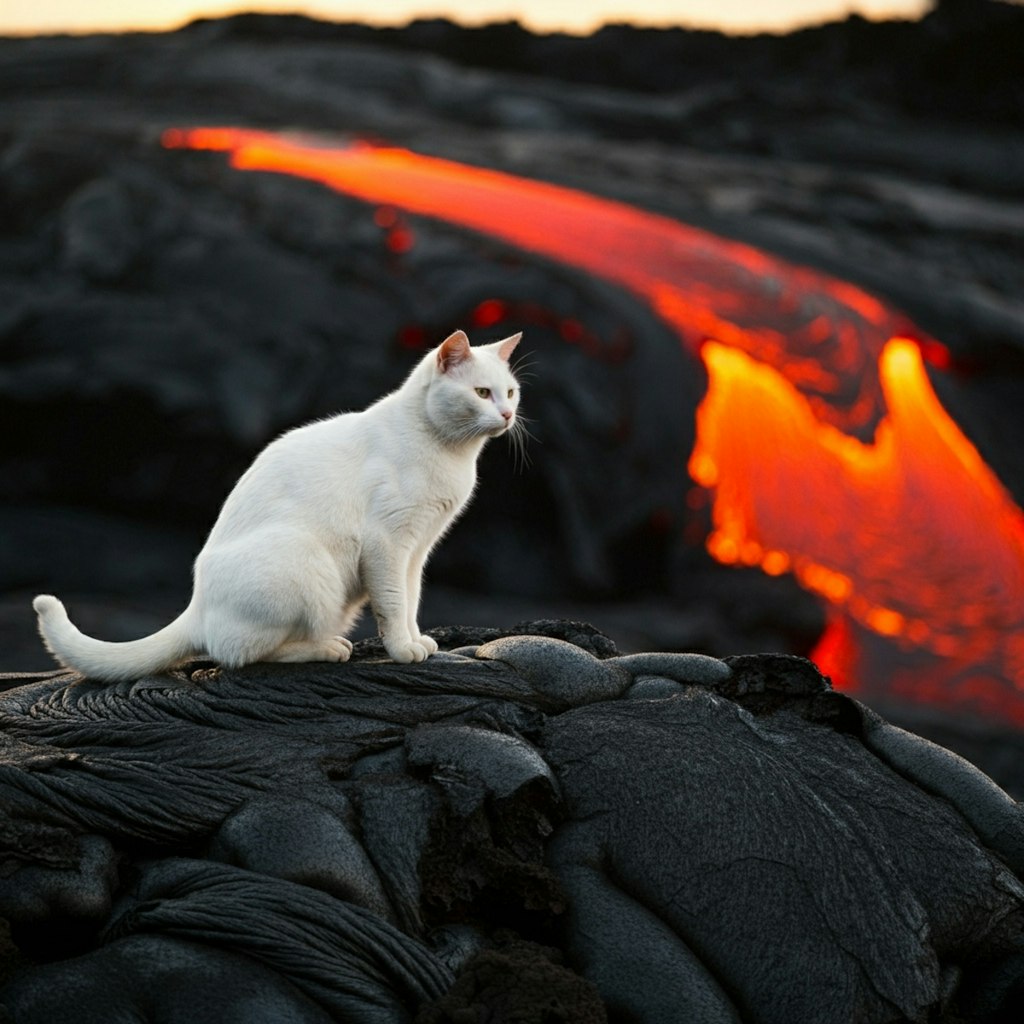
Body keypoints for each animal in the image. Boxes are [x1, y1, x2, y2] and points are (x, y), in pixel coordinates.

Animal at [34, 327, 520, 679]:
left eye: (511, 392)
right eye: (482, 393)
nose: (508, 415)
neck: (451, 454)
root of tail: (197, 607)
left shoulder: (418, 550)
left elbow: (411, 599)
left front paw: (417, 640)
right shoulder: (387, 544)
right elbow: (393, 603)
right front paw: (402, 650)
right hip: (305, 561)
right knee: (240, 654)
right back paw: (326, 648)